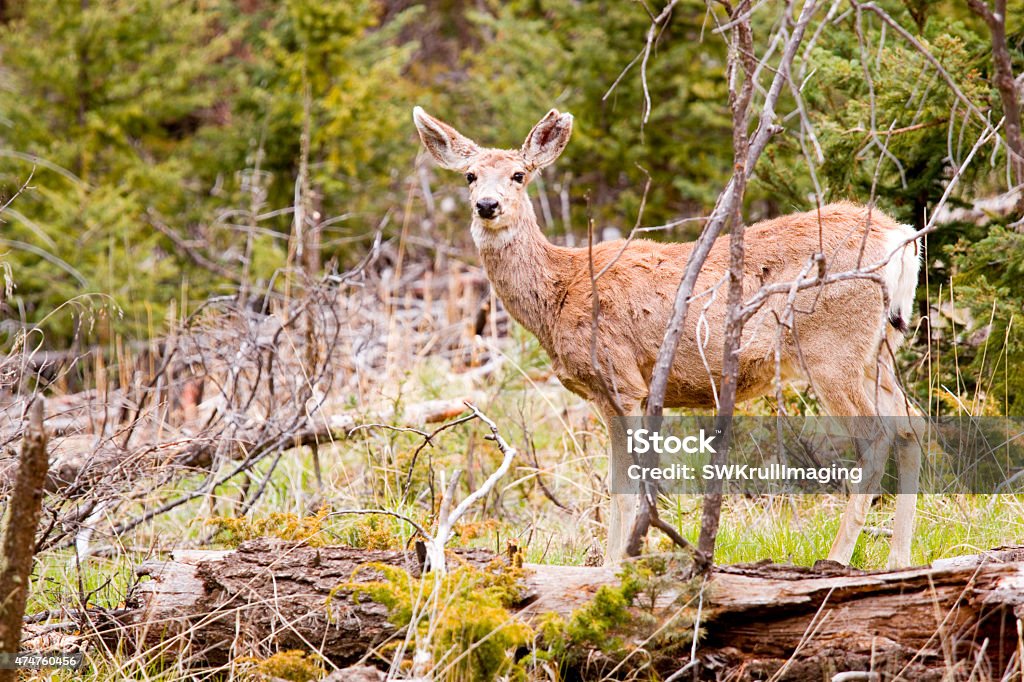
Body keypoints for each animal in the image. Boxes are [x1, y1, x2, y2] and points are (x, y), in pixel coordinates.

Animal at [411, 103, 925, 565]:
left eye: (519, 175)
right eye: (470, 176)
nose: (487, 205)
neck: (560, 291)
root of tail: (899, 238)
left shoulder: (623, 380)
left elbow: (628, 491)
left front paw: (620, 564)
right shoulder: (609, 394)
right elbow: (617, 486)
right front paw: (611, 564)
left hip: (832, 348)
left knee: (877, 436)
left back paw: (837, 559)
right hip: (878, 350)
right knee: (911, 424)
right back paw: (899, 560)